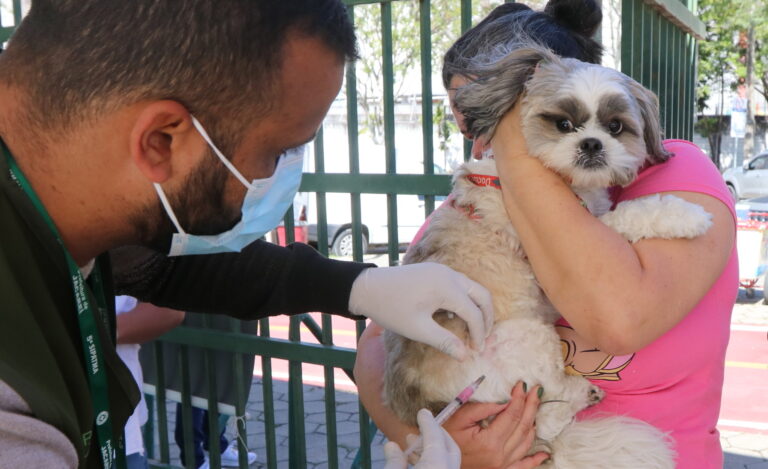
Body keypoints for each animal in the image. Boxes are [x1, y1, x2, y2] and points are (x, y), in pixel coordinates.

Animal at [380, 43, 712, 464]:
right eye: (563, 124)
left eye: (615, 127)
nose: (591, 144)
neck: (572, 188)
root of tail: (427, 405)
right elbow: (628, 215)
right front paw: (686, 215)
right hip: (524, 337)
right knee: (545, 406)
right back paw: (580, 393)